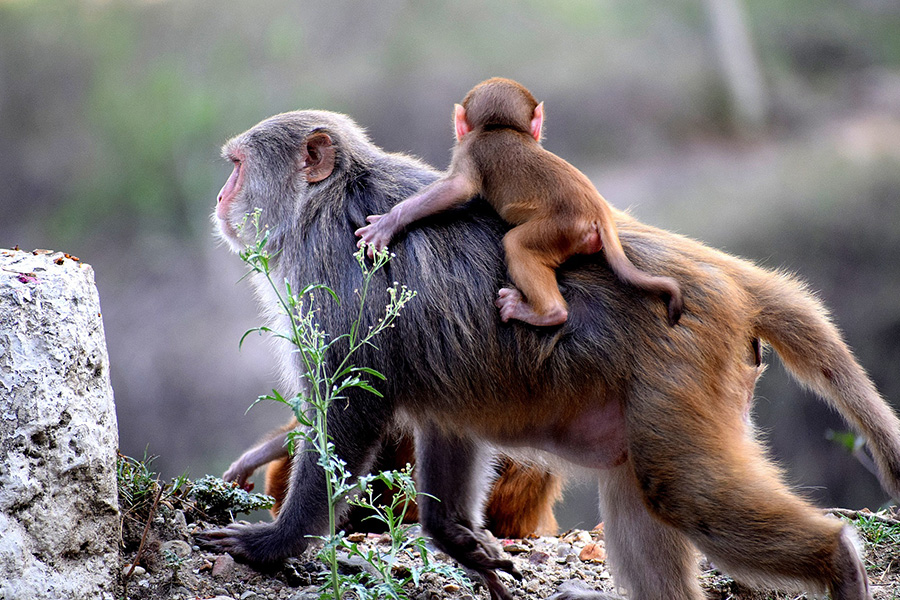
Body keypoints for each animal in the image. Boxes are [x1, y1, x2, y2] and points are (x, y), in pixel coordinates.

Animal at [355, 77, 683, 328]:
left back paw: (546, 314)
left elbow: (457, 188)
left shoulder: (470, 149)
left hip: (561, 229)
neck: (499, 128)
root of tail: (597, 212)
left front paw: (389, 222)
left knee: (517, 244)